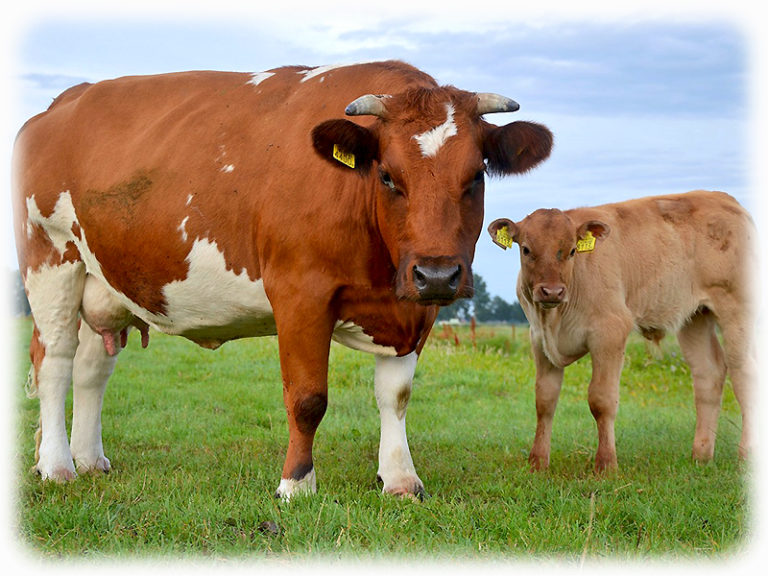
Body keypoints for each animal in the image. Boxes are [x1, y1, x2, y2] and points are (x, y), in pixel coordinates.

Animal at [13, 60, 553, 500]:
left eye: (476, 176)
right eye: (387, 176)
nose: (437, 272)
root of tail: (59, 106)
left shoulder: (415, 308)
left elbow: (395, 395)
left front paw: (400, 479)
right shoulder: (300, 294)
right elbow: (307, 397)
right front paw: (296, 484)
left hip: (102, 281)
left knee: (91, 368)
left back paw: (88, 460)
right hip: (51, 260)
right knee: (55, 362)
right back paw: (57, 466)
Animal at [488, 191, 755, 472]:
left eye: (572, 251)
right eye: (526, 249)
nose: (552, 291)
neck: (555, 317)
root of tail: (725, 199)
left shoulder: (610, 332)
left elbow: (601, 400)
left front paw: (606, 465)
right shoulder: (539, 340)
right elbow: (545, 400)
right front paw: (538, 462)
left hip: (737, 311)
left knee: (745, 374)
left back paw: (746, 455)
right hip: (695, 318)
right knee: (708, 374)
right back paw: (700, 456)